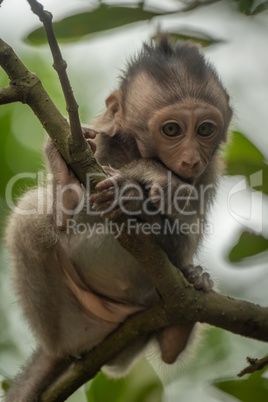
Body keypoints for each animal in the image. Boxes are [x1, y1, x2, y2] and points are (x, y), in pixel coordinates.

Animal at [5, 36, 232, 400]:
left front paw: (134, 189)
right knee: (30, 218)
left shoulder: (209, 172)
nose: (190, 159)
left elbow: (183, 245)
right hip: (70, 325)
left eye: (205, 129)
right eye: (172, 129)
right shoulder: (92, 137)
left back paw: (179, 327)